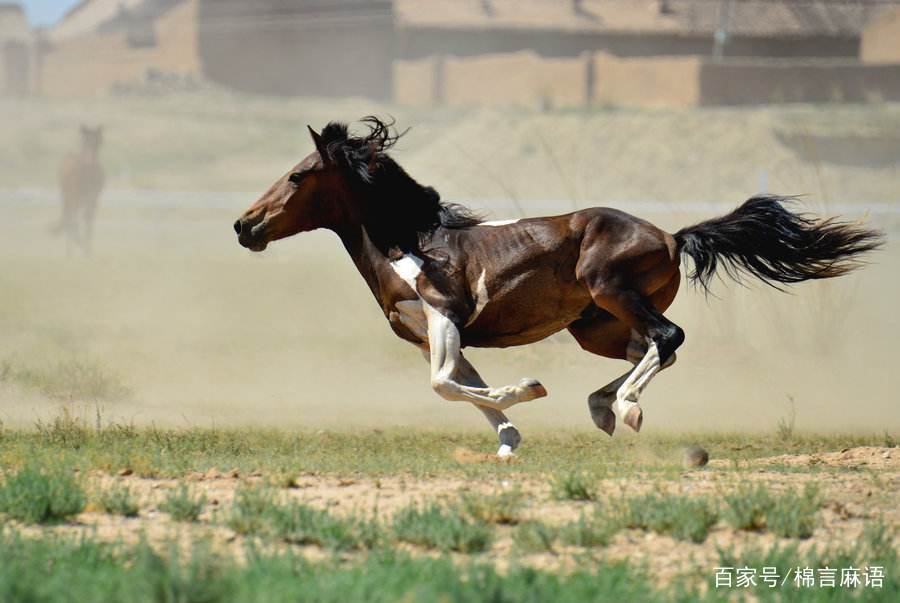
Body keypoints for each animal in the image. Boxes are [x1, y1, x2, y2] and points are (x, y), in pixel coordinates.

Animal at [56, 124, 106, 256]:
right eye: (85, 142)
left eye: (97, 142)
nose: (90, 160)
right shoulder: (76, 196)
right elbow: (77, 221)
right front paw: (84, 249)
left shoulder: (93, 198)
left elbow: (88, 220)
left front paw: (88, 251)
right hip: (68, 197)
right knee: (70, 219)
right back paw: (70, 251)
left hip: (78, 200)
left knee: (75, 218)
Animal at [236, 117, 884, 458]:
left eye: (298, 176)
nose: (245, 225)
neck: (409, 243)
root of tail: (672, 236)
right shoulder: (432, 336)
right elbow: (463, 387)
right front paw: (508, 440)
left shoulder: (444, 317)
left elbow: (446, 385)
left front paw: (528, 390)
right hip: (594, 327)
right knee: (651, 350)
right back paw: (604, 407)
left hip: (613, 292)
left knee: (668, 337)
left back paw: (625, 408)